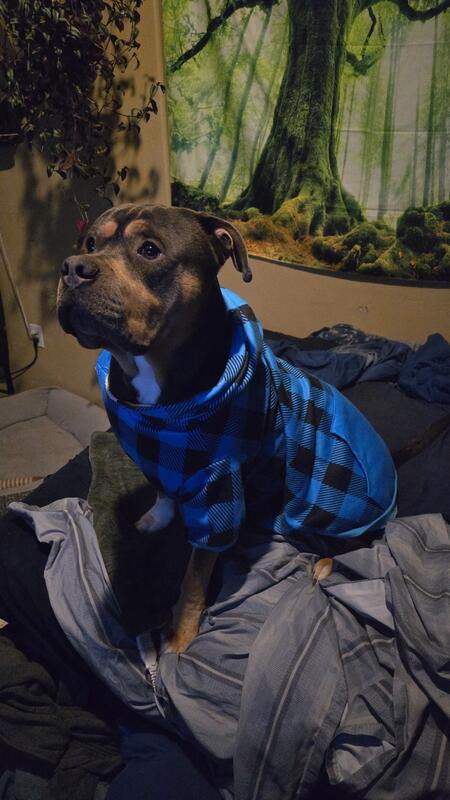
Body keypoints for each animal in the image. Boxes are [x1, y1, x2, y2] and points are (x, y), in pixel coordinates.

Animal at [57, 203, 397, 652]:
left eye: (149, 250)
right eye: (90, 243)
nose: (72, 267)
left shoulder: (218, 494)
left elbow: (193, 579)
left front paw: (181, 635)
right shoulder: (156, 456)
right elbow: (164, 493)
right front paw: (156, 518)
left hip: (335, 504)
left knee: (357, 541)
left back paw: (325, 563)